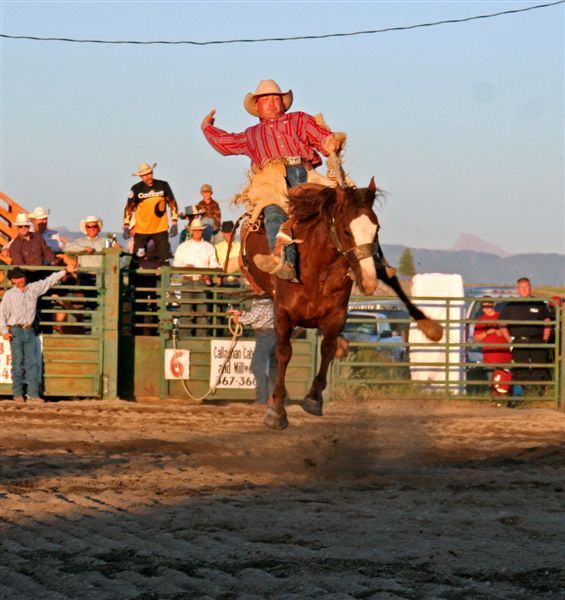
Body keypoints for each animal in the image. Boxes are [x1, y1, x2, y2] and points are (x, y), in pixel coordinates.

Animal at [238, 179, 440, 432]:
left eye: (377, 229)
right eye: (346, 231)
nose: (368, 281)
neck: (317, 270)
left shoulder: (336, 316)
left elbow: (328, 349)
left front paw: (313, 399)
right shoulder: (283, 315)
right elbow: (283, 353)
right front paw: (276, 411)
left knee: (392, 280)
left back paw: (430, 326)